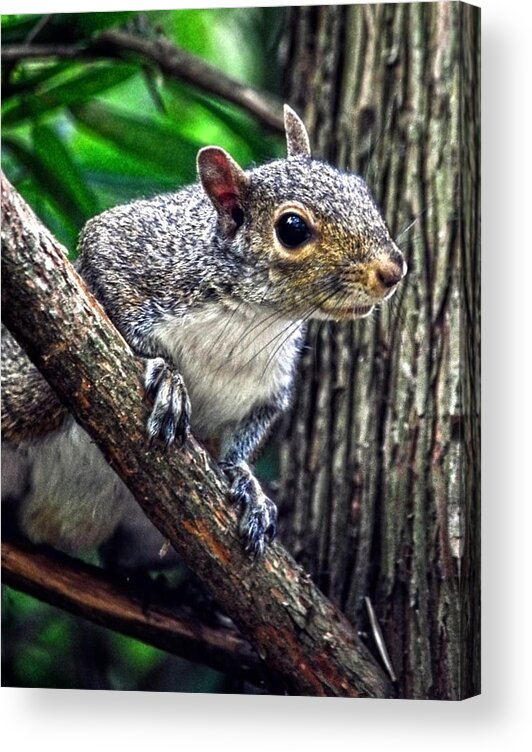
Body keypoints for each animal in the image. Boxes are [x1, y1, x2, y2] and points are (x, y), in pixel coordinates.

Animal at [1, 107, 408, 564]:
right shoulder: (137, 248)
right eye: (292, 228)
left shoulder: (269, 389)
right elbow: (106, 279)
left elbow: (244, 438)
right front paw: (166, 375)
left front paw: (246, 482)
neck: (254, 318)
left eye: (360, 189)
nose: (393, 270)